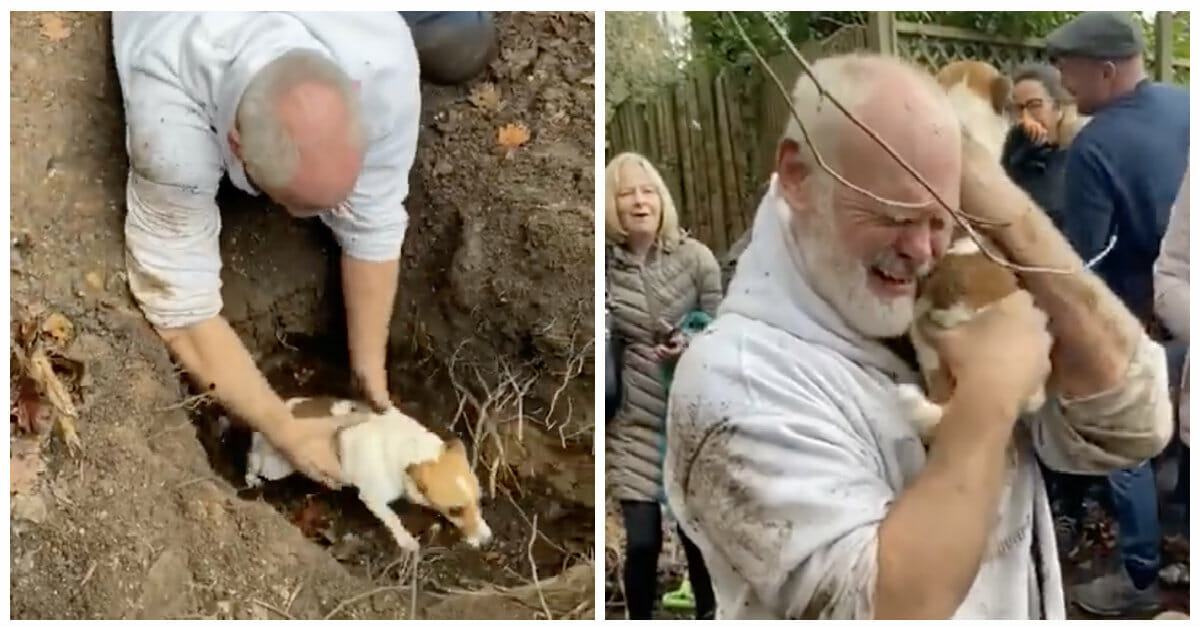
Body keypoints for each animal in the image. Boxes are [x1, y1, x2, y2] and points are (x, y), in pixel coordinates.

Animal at [243, 398, 492, 549]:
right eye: (455, 510)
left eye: (479, 500)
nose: (488, 539)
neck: (415, 451)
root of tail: (287, 407)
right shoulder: (373, 498)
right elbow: (392, 518)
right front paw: (406, 541)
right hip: (277, 467)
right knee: (253, 459)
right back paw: (251, 477)